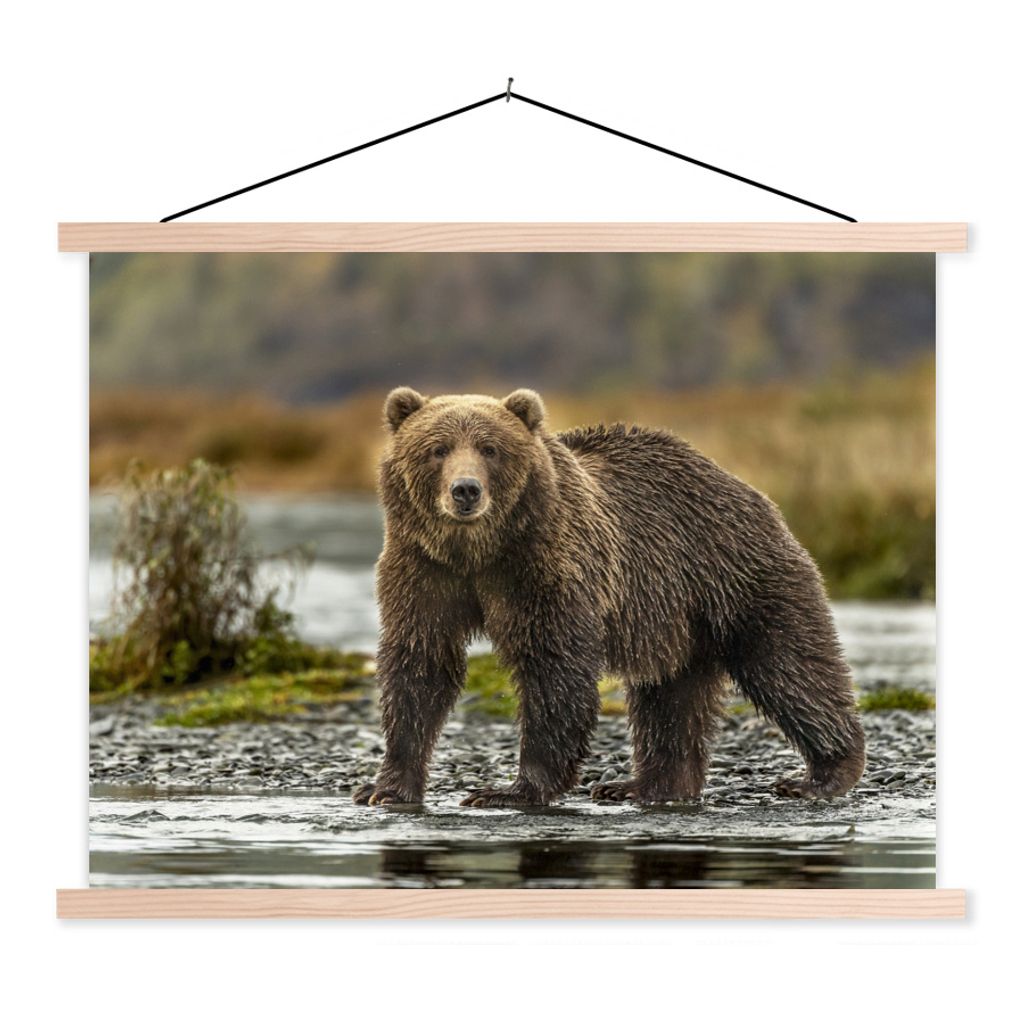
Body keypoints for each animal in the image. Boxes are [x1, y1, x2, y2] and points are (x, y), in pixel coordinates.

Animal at [353, 387, 865, 808]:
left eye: (490, 449)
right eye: (437, 449)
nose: (465, 490)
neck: (479, 552)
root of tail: (744, 486)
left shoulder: (545, 567)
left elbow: (553, 666)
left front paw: (511, 790)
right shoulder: (423, 569)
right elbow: (421, 664)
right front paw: (385, 788)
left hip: (734, 572)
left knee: (788, 664)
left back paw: (820, 774)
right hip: (675, 617)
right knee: (669, 696)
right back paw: (644, 785)